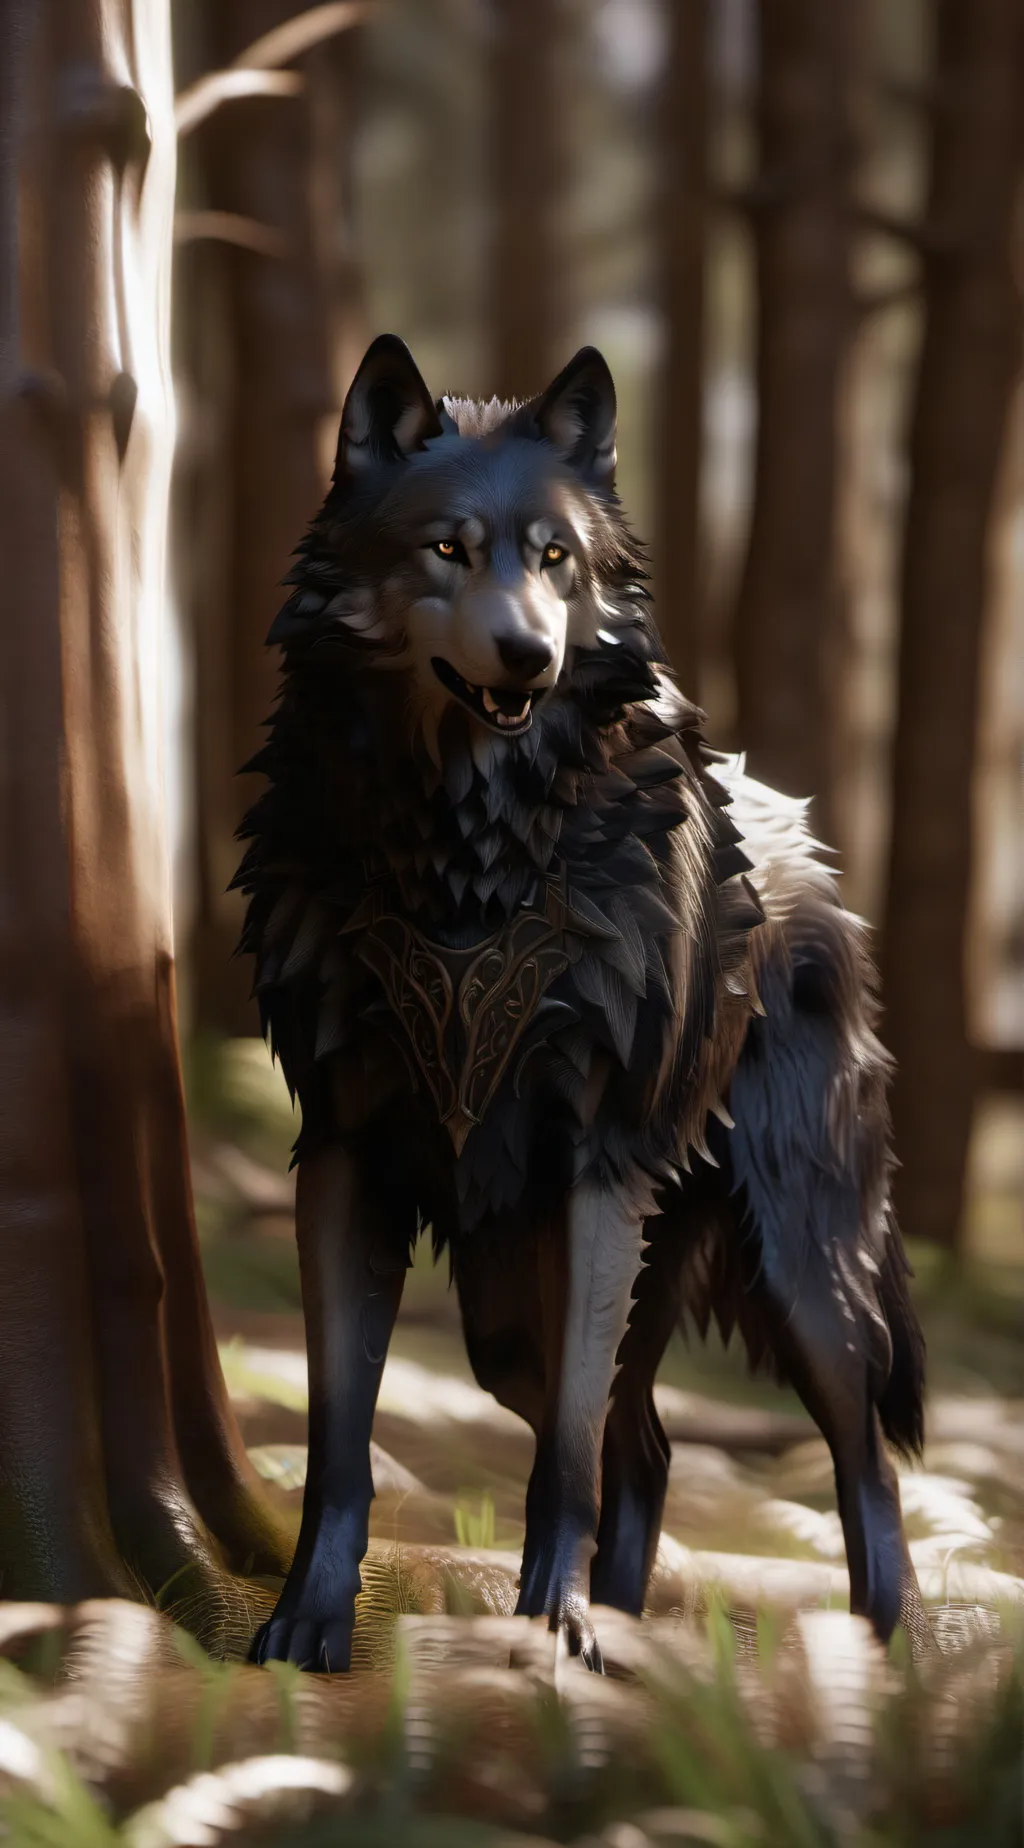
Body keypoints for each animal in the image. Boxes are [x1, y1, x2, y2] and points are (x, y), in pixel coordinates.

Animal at [236, 335, 928, 1673]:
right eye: (448, 549)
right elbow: (340, 1441)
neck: (463, 865)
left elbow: (559, 1454)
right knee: (643, 1443)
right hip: (508, 1311)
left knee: (858, 1458)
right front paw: (307, 1621)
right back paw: (620, 1624)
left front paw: (547, 1626)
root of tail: (819, 867)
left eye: (556, 559)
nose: (529, 658)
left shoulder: (598, 1171)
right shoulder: (341, 1156)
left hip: (799, 1273)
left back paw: (878, 1659)